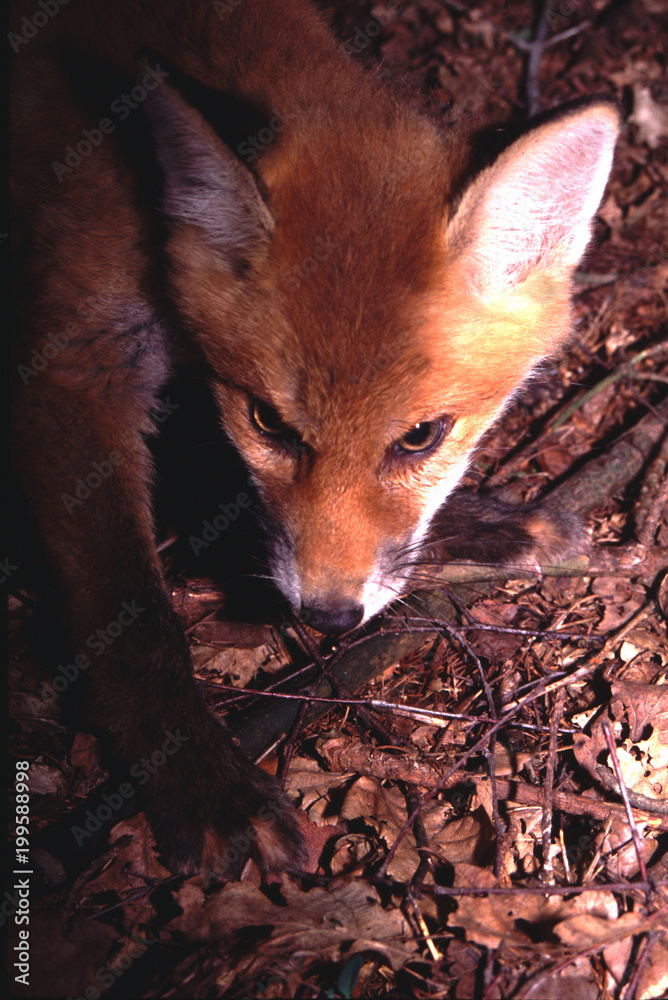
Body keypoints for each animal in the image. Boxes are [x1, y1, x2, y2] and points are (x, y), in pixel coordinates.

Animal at [10, 0, 619, 876]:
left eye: (421, 436)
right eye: (269, 423)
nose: (326, 617)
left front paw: (491, 524)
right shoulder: (73, 364)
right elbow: (135, 618)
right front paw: (202, 779)